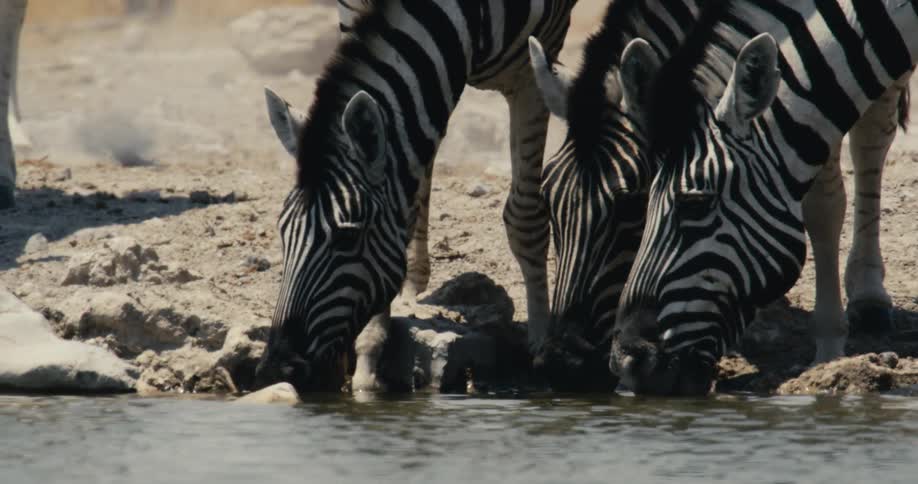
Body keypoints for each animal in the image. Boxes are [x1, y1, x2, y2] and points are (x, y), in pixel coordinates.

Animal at [253, 0, 579, 393]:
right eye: (282, 232)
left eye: (347, 238)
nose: (276, 370)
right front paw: (368, 355)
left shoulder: (534, 67)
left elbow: (526, 218)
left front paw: (543, 344)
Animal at [529, 0, 913, 392]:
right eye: (547, 199)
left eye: (631, 204)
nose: (560, 363)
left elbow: (823, 203)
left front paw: (829, 347)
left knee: (872, 137)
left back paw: (869, 296)